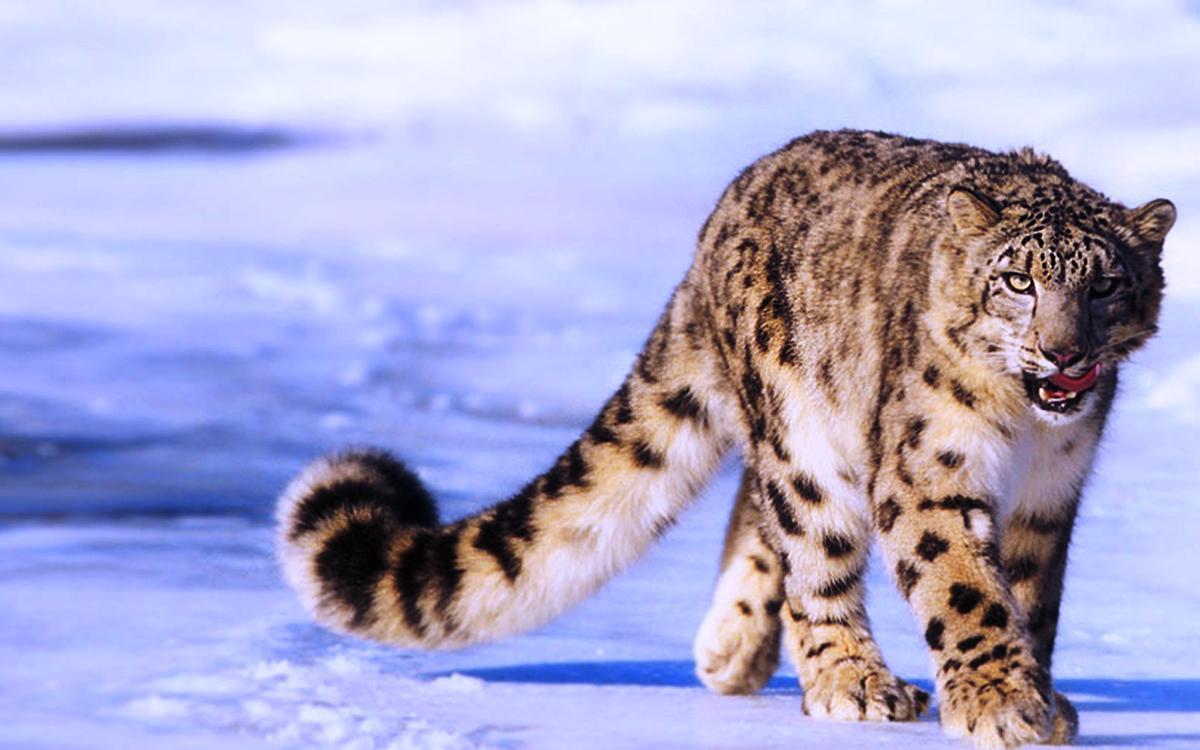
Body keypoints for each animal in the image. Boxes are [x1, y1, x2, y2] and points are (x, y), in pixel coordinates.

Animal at [276, 129, 1175, 748]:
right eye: (1017, 281)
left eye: (1106, 285)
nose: (1064, 352)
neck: (1024, 433)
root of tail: (723, 213)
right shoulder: (930, 474)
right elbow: (964, 588)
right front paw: (1000, 702)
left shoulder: (1051, 495)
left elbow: (1030, 594)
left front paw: (1039, 694)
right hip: (800, 428)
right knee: (810, 545)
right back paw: (850, 680)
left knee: (762, 510)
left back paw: (734, 646)